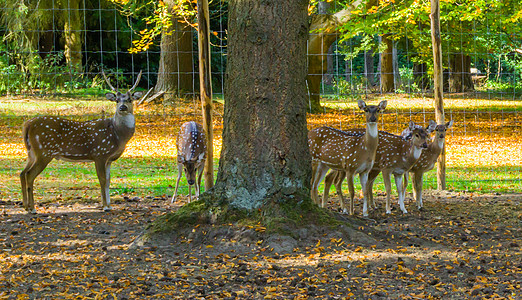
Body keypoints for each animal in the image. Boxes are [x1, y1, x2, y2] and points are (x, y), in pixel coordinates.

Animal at [20, 69, 142, 213]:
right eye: (116, 100)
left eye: (129, 99)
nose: (122, 107)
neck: (117, 135)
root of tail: (27, 125)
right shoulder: (100, 153)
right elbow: (102, 180)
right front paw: (105, 206)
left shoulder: (109, 159)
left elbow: (108, 180)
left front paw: (109, 205)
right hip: (44, 151)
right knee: (29, 175)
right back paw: (32, 208)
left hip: (31, 152)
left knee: (22, 173)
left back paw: (26, 206)